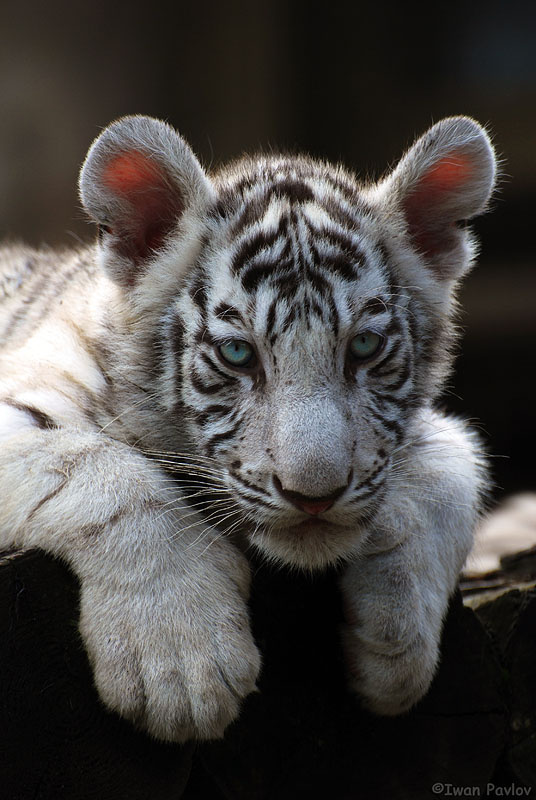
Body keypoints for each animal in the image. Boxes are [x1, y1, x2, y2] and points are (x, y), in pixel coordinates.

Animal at [0, 114, 496, 742]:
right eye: (238, 354)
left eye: (363, 347)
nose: (315, 496)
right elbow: (106, 477)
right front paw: (182, 662)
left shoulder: (439, 437)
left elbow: (447, 478)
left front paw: (397, 647)